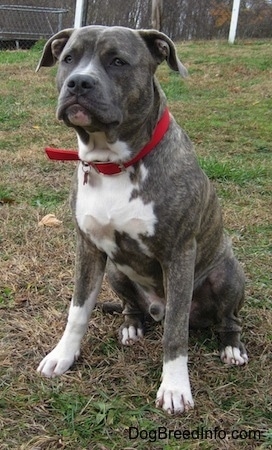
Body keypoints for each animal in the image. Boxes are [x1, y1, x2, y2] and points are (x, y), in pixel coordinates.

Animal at [36, 25, 249, 414]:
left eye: (118, 61)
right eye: (69, 58)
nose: (78, 83)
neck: (113, 163)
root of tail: (155, 309)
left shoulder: (178, 255)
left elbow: (175, 332)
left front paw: (175, 388)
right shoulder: (88, 249)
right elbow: (78, 311)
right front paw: (63, 356)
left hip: (227, 274)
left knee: (227, 319)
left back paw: (231, 348)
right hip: (117, 273)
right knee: (131, 307)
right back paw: (132, 326)